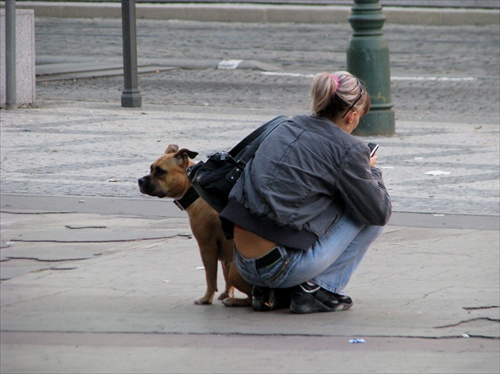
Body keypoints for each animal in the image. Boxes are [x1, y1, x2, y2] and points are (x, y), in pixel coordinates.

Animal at [139, 144, 252, 306]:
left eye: (160, 171)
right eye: (151, 168)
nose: (139, 180)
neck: (192, 191)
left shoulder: (207, 246)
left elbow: (210, 276)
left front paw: (206, 298)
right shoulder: (225, 253)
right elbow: (225, 273)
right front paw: (225, 293)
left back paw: (234, 301)